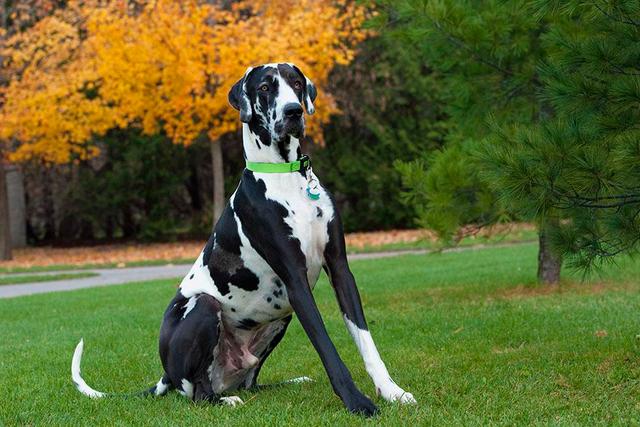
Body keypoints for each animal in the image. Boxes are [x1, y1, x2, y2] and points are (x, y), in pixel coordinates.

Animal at [71, 63, 416, 418]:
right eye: (264, 87)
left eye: (296, 83)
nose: (293, 111)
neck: (286, 176)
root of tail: (166, 374)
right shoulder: (296, 282)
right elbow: (328, 349)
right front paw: (357, 401)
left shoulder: (341, 270)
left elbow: (365, 340)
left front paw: (392, 391)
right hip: (205, 308)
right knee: (197, 392)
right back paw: (221, 400)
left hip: (281, 317)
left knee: (249, 383)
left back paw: (286, 383)